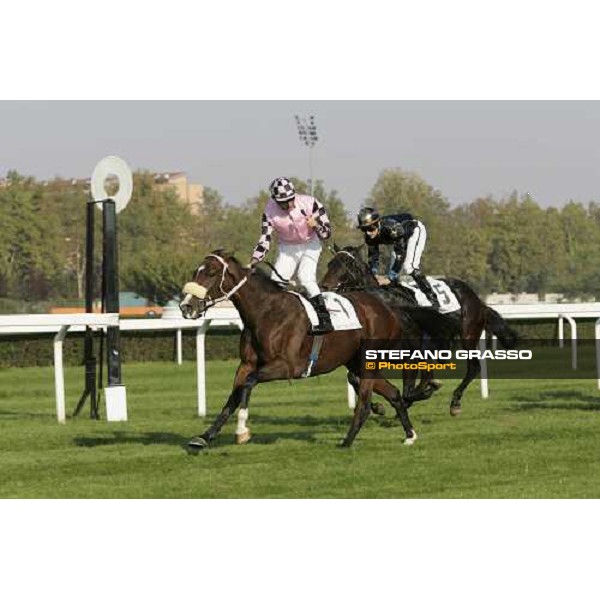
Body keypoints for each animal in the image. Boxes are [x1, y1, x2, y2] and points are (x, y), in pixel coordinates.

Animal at [178, 248, 446, 450]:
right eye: (195, 271)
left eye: (212, 272)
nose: (186, 306)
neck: (266, 312)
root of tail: (387, 307)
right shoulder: (246, 364)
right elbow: (233, 396)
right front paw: (204, 437)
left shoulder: (287, 366)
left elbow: (248, 385)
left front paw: (242, 430)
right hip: (356, 362)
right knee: (394, 394)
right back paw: (410, 434)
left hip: (368, 359)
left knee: (365, 402)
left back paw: (347, 441)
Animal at [322, 245, 516, 418]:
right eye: (330, 263)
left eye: (348, 263)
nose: (324, 286)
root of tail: (478, 300)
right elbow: (354, 378)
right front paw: (377, 407)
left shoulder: (411, 353)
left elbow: (408, 388)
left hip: (468, 334)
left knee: (473, 367)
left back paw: (454, 402)